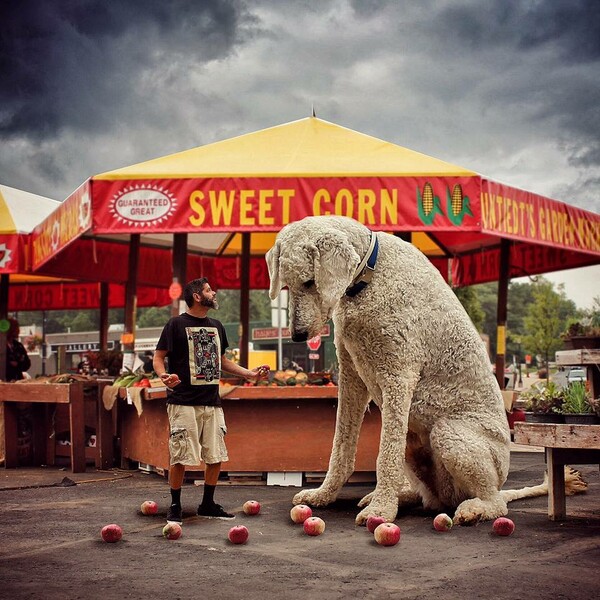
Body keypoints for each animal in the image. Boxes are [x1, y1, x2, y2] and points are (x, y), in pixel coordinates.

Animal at [266, 216, 580, 524]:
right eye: (288, 286)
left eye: (310, 282)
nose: (297, 335)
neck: (369, 276)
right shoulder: (351, 375)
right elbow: (341, 446)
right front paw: (323, 495)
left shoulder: (399, 375)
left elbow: (385, 457)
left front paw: (381, 510)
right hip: (414, 442)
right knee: (427, 495)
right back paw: (401, 497)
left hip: (450, 433)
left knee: (495, 502)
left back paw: (474, 509)